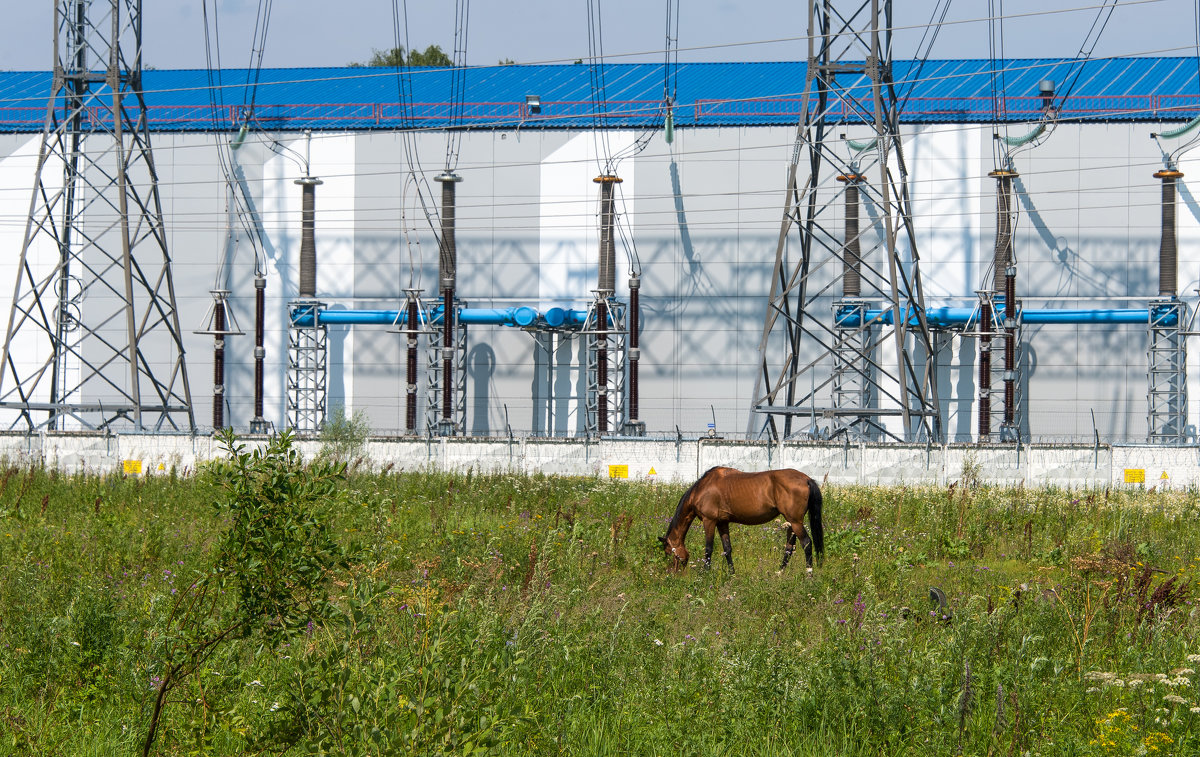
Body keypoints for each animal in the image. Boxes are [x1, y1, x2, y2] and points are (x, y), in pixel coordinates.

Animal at [657, 467, 825, 573]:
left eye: (668, 552)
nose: (671, 573)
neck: (701, 489)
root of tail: (806, 479)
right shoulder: (722, 523)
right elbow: (727, 549)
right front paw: (732, 574)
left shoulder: (709, 521)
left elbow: (708, 548)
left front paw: (704, 574)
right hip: (791, 523)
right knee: (789, 547)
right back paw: (779, 573)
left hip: (795, 522)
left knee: (806, 543)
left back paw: (809, 574)